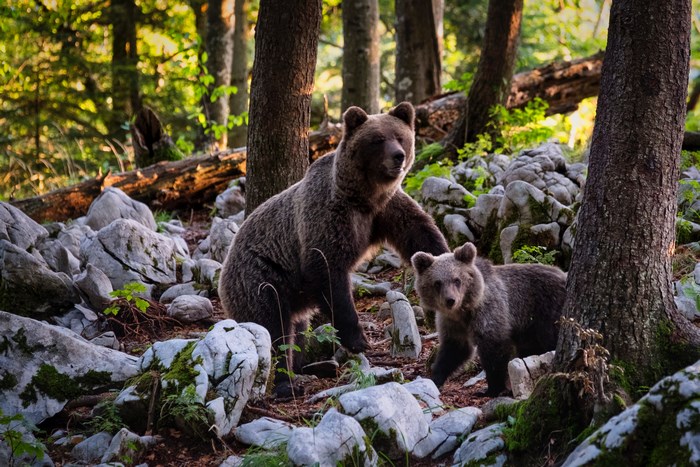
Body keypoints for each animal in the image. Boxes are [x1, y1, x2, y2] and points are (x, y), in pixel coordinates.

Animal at [219, 102, 449, 396]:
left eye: (400, 137)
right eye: (377, 140)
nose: (398, 156)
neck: (363, 197)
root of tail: (225, 265)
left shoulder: (386, 210)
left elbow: (420, 233)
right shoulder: (328, 217)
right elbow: (328, 271)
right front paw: (358, 339)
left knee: (296, 329)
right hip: (261, 278)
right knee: (273, 328)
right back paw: (286, 382)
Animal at [411, 242, 566, 396]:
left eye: (457, 280)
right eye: (437, 283)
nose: (450, 300)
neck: (463, 311)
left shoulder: (489, 311)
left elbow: (493, 349)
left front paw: (491, 388)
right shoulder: (452, 323)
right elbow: (454, 350)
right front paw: (435, 378)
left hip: (547, 310)